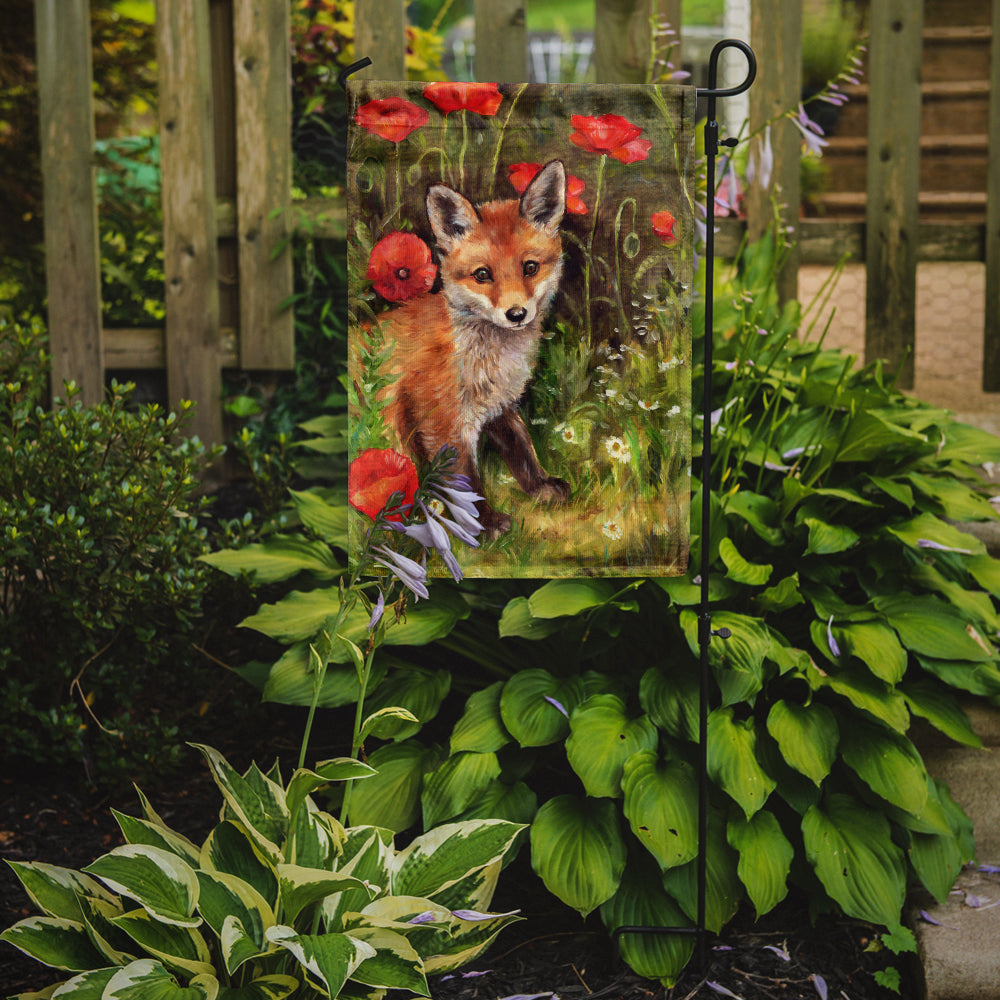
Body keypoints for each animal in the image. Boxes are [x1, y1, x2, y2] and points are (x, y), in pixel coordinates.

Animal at [375, 159, 572, 538]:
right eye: (482, 275)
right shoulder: (441, 419)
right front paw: (484, 524)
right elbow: (465, 482)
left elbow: (522, 449)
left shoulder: (500, 405)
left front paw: (541, 487)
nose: (516, 314)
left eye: (530, 267)